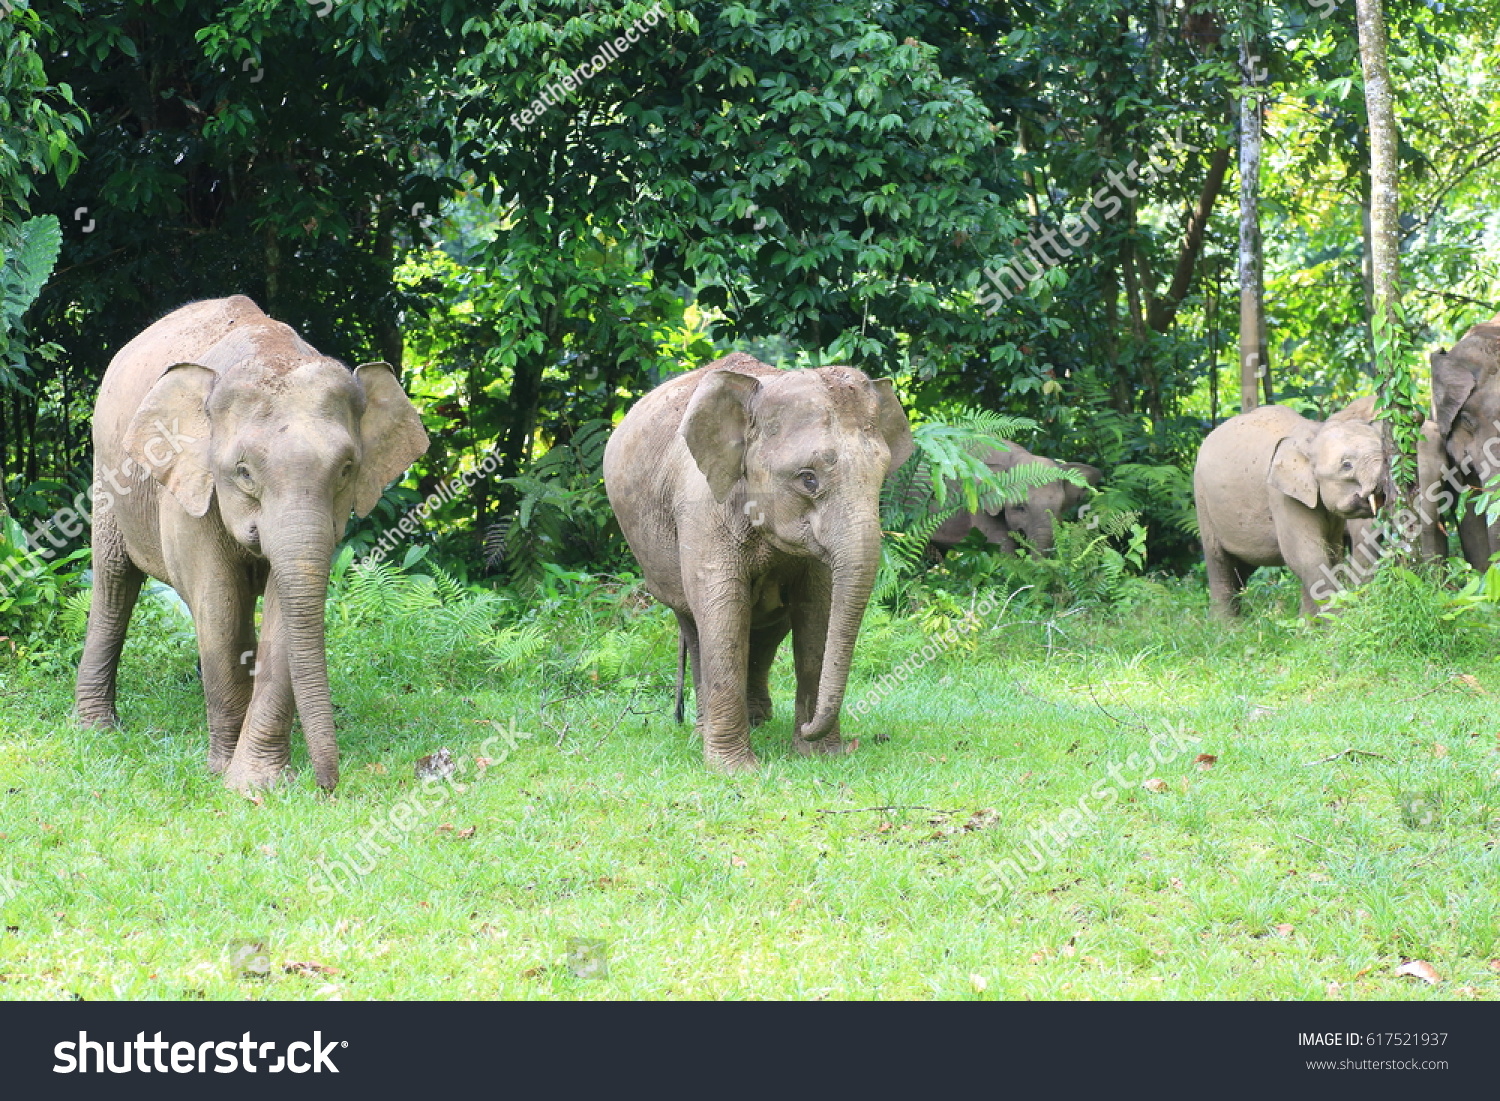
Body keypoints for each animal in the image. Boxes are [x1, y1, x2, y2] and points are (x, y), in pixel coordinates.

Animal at [75, 295, 429, 792]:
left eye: (346, 470)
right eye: (243, 472)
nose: (329, 786)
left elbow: (284, 616)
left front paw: (257, 783)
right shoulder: (190, 488)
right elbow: (219, 606)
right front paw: (225, 772)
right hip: (106, 476)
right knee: (114, 580)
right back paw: (97, 729)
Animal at [600, 349, 912, 774]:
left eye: (881, 478)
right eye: (808, 479)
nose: (810, 727)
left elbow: (819, 608)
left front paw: (819, 754)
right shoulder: (702, 510)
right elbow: (723, 610)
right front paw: (735, 770)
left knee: (767, 626)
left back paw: (759, 720)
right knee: (696, 623)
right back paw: (710, 730)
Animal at [1194, 402, 1392, 618]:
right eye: (1347, 465)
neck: (1313, 434)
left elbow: (1331, 553)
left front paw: (1309, 625)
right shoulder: (1282, 496)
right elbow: (1307, 556)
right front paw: (1337, 622)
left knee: (1242, 567)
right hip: (1202, 500)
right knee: (1219, 560)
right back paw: (1226, 625)